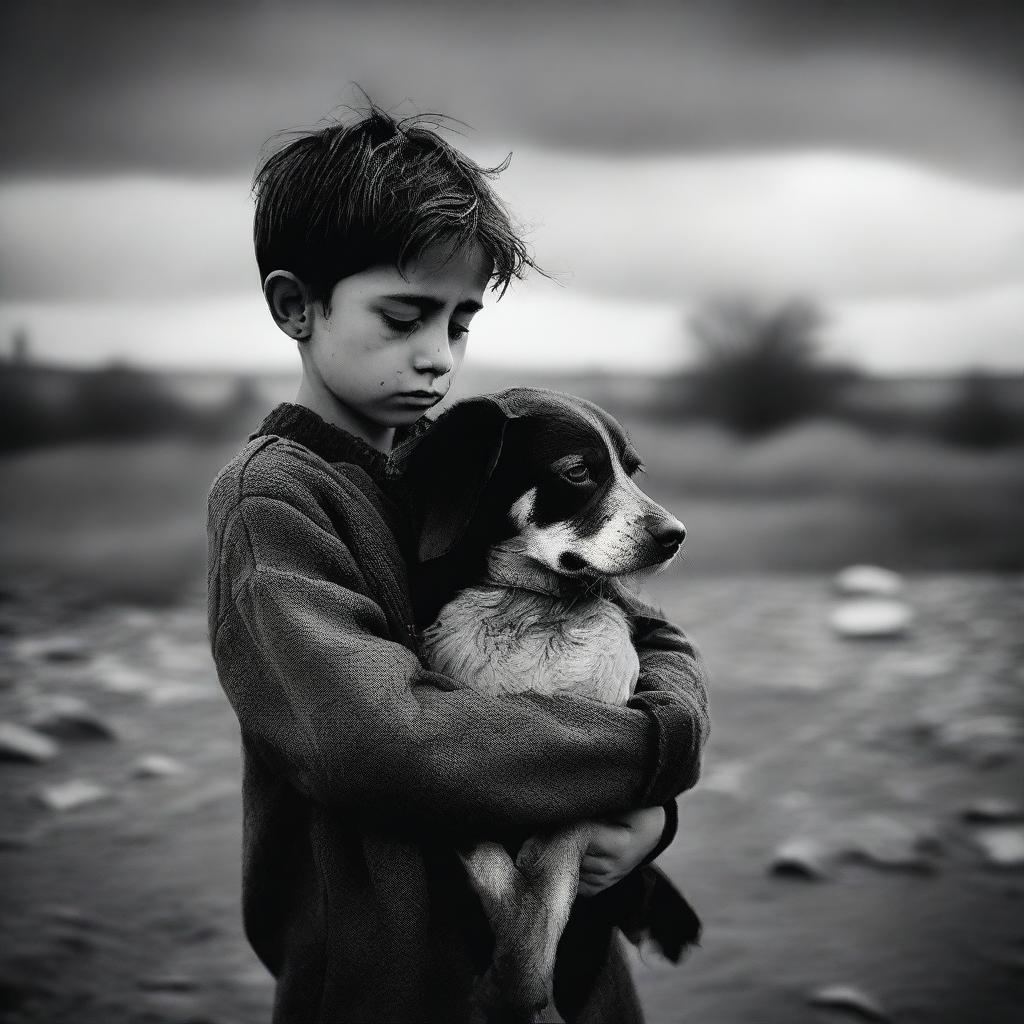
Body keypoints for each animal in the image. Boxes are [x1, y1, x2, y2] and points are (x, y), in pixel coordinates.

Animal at [397, 387, 696, 1019]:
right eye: (579, 471)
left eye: (633, 471)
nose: (676, 534)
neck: (529, 609)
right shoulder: (448, 773)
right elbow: (500, 875)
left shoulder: (589, 772)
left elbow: (543, 894)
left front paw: (519, 988)